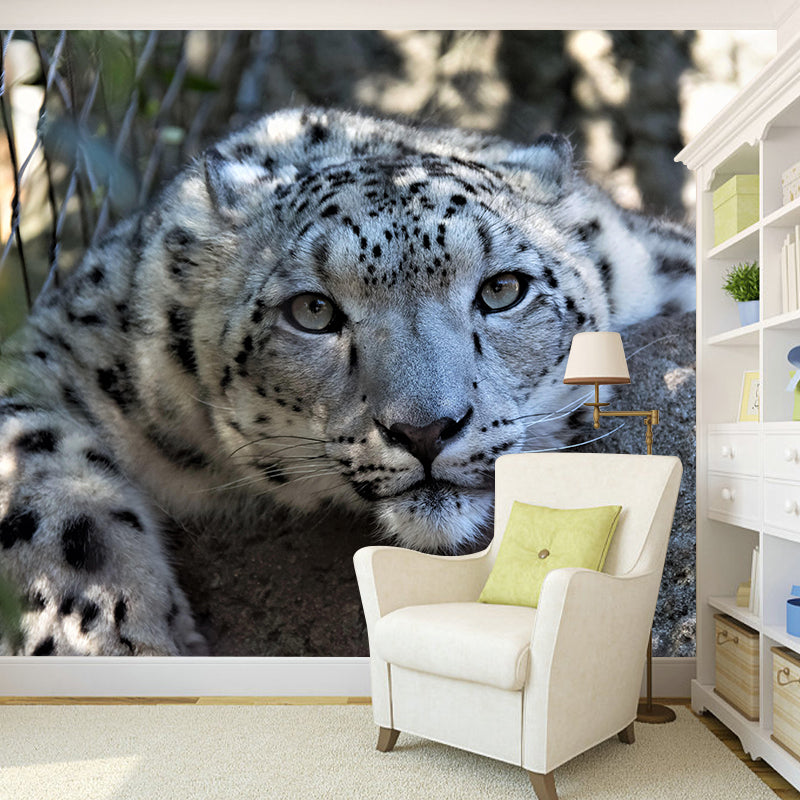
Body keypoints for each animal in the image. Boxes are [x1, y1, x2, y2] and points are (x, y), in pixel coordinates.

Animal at [0, 107, 695, 656]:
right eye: (313, 310)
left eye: (503, 289)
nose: (426, 429)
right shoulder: (60, 352)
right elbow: (48, 484)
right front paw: (103, 640)